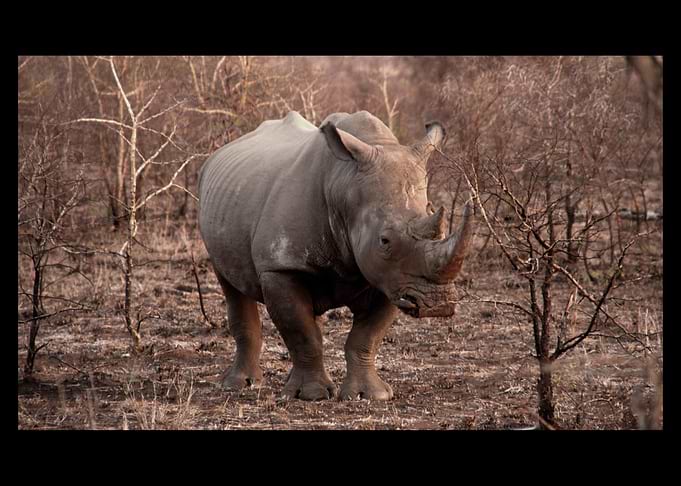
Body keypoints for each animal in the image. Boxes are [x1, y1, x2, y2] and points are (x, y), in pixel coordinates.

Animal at [198, 110, 473, 401]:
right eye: (384, 241)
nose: (437, 305)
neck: (345, 184)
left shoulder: (392, 278)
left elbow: (366, 336)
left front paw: (370, 395)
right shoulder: (280, 266)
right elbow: (303, 333)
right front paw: (311, 395)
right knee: (231, 286)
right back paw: (238, 384)